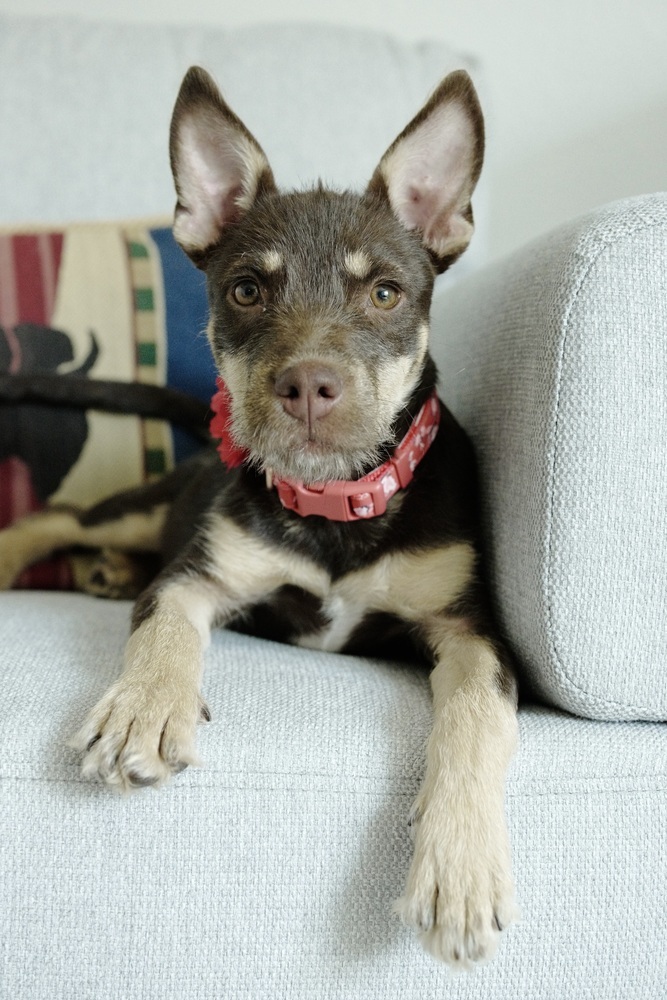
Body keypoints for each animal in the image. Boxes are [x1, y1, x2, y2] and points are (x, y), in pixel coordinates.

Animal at [0, 66, 520, 964]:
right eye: (245, 289)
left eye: (385, 292)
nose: (307, 386)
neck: (334, 505)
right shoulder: (200, 569)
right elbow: (165, 628)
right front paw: (142, 711)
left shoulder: (469, 629)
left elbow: (473, 718)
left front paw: (458, 868)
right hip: (151, 506)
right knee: (61, 515)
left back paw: (105, 575)